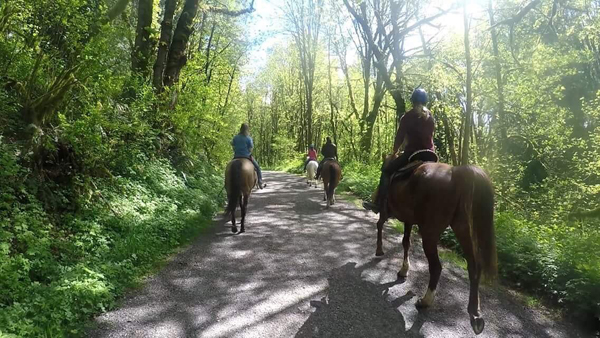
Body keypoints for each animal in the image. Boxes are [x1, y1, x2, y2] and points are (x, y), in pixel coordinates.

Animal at [376, 154, 496, 334]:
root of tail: (457, 174)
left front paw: (379, 250)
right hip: (463, 228)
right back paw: (475, 314)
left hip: (430, 233)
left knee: (436, 267)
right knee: (474, 266)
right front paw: (404, 270)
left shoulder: (387, 212)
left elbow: (381, 225)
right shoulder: (409, 220)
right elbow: (406, 242)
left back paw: (425, 301)